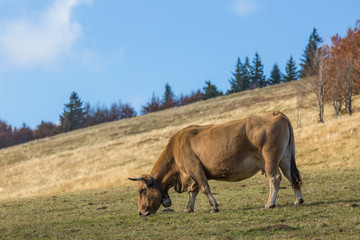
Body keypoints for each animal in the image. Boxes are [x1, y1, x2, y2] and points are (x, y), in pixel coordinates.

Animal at [128, 111, 302, 217]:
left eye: (141, 191)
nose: (140, 212)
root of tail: (275, 113)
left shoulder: (195, 168)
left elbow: (204, 188)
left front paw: (213, 206)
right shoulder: (192, 175)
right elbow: (193, 192)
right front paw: (188, 208)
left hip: (270, 159)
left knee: (275, 178)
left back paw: (269, 204)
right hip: (285, 158)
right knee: (293, 178)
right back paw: (298, 200)